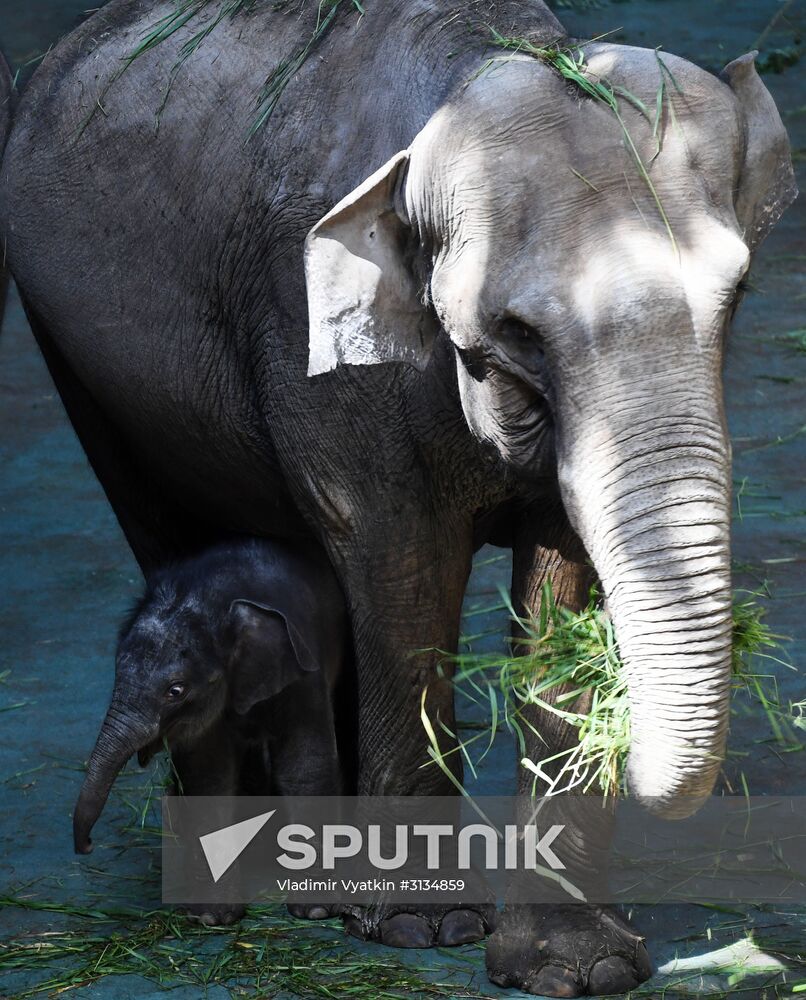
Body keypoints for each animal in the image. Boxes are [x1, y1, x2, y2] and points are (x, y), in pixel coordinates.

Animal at [0, 0, 796, 994]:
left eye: (738, 294)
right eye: (517, 332)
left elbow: (559, 580)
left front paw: (580, 967)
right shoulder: (314, 339)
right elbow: (401, 561)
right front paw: (421, 927)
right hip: (79, 364)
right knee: (167, 530)